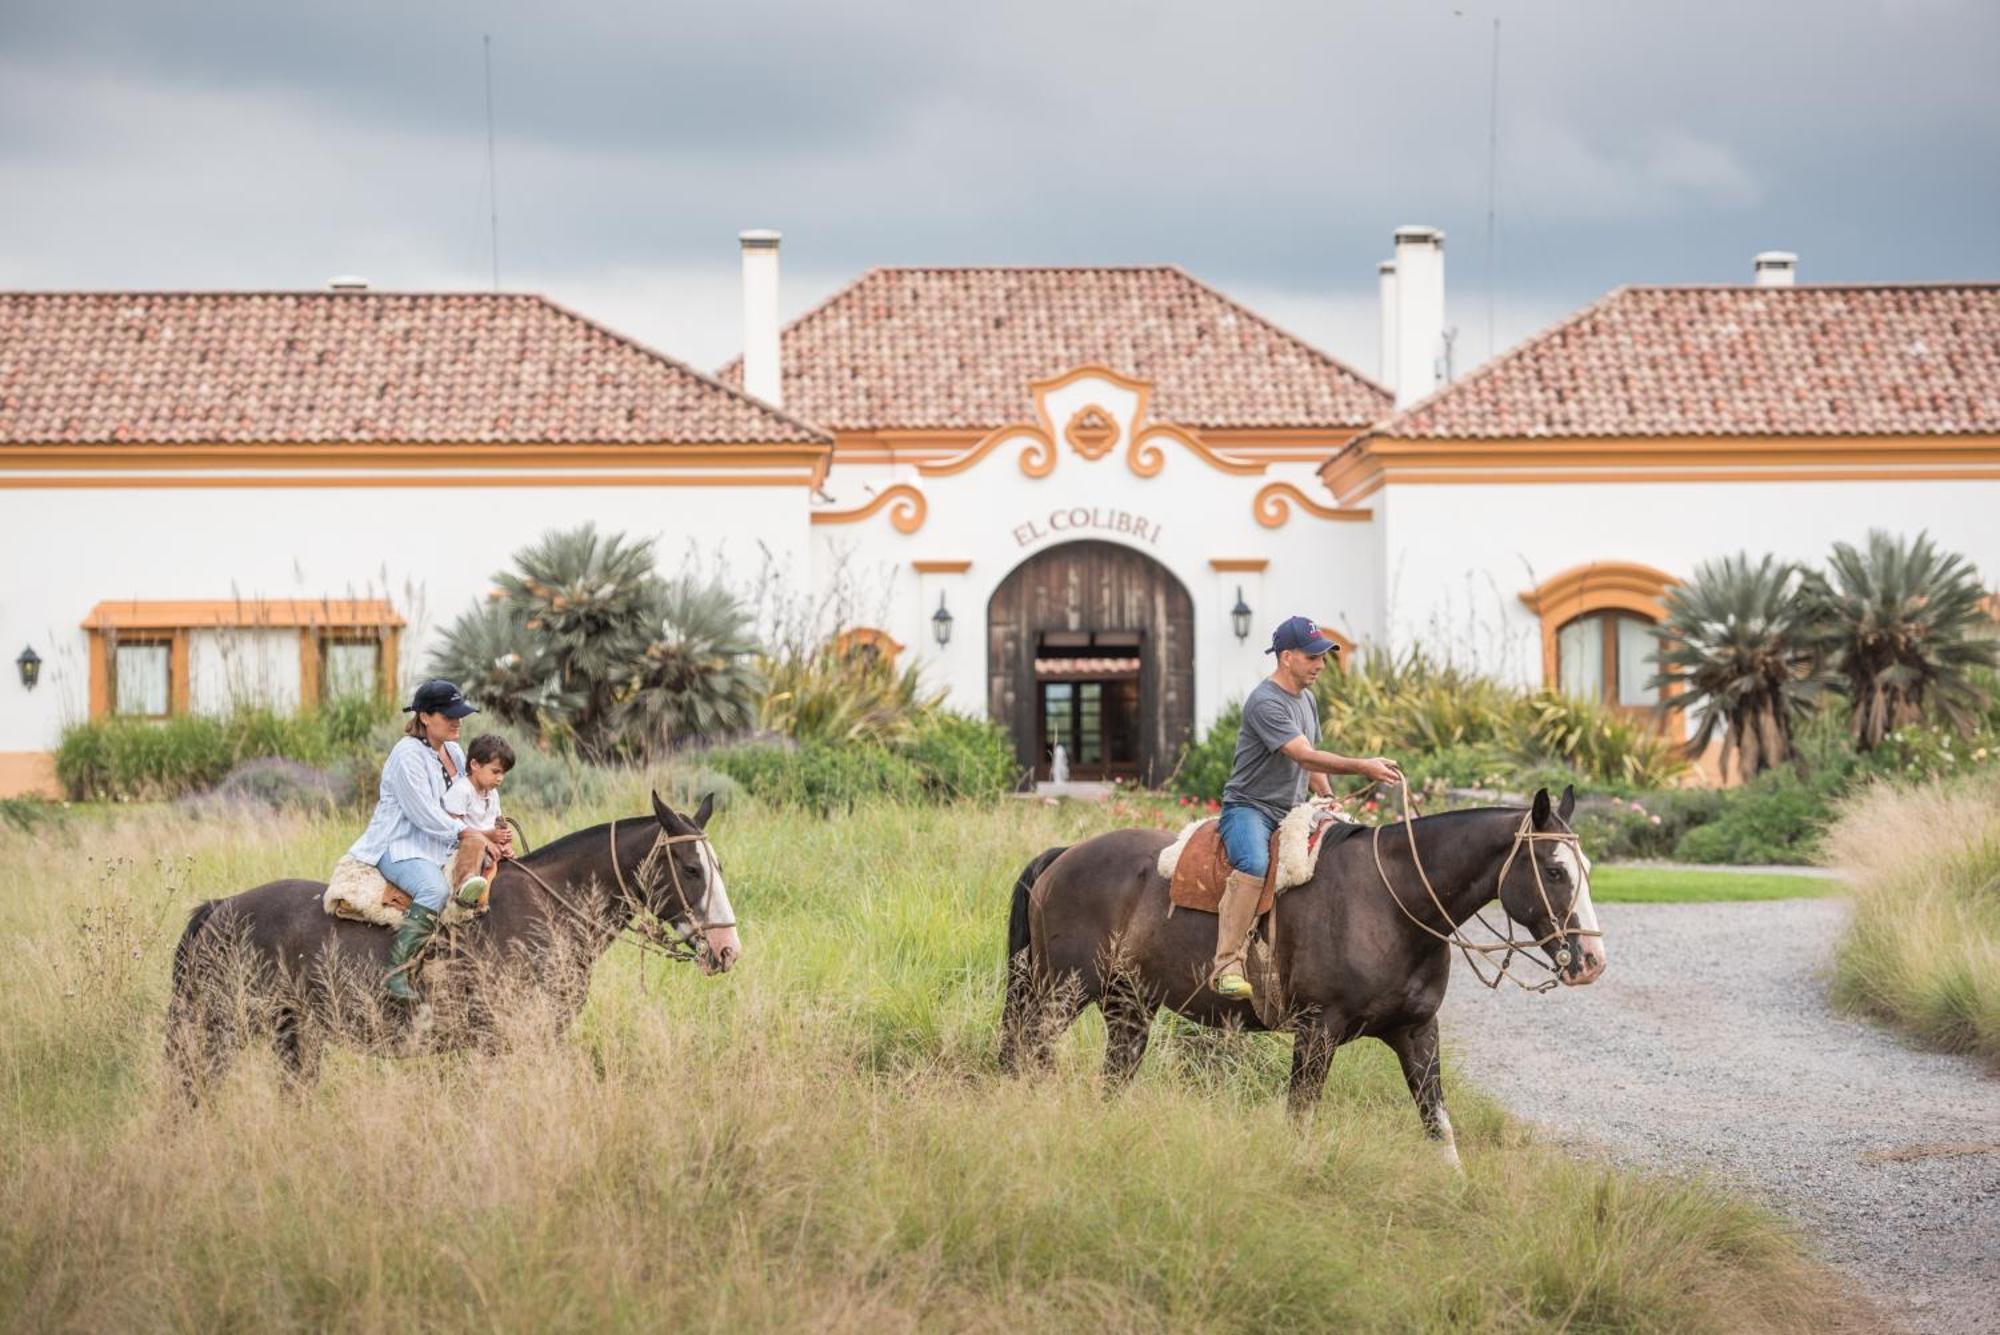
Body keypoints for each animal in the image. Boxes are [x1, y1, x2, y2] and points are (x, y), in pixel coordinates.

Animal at [166, 791, 744, 1095]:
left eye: (717, 865)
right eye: (691, 868)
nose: (726, 949)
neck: (552, 908)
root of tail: (220, 908)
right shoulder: (505, 1039)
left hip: (294, 1035)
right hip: (221, 1028)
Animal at [1000, 787, 1608, 1159]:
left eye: (1585, 867)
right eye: (1554, 870)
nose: (1591, 961)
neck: (1392, 901)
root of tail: (1064, 856)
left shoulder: (1417, 1033)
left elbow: (1439, 1127)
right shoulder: (1317, 1033)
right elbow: (1300, 1117)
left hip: (1128, 1007)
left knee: (1109, 1077)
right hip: (1062, 993)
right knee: (1031, 1054)